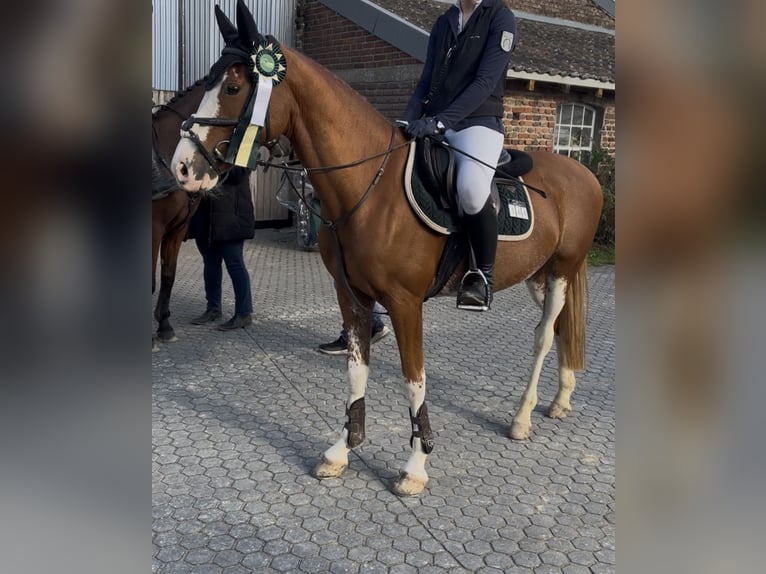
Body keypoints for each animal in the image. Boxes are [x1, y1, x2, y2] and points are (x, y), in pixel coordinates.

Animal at [170, 0, 603, 496]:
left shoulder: (404, 303)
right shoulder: (352, 296)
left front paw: (415, 466)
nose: (182, 168)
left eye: (234, 86)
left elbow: (413, 379)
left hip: (562, 271)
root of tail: (584, 173)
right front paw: (343, 449)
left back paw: (522, 417)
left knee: (543, 336)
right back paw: (561, 399)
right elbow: (357, 371)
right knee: (560, 331)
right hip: (540, 275)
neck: (371, 189)